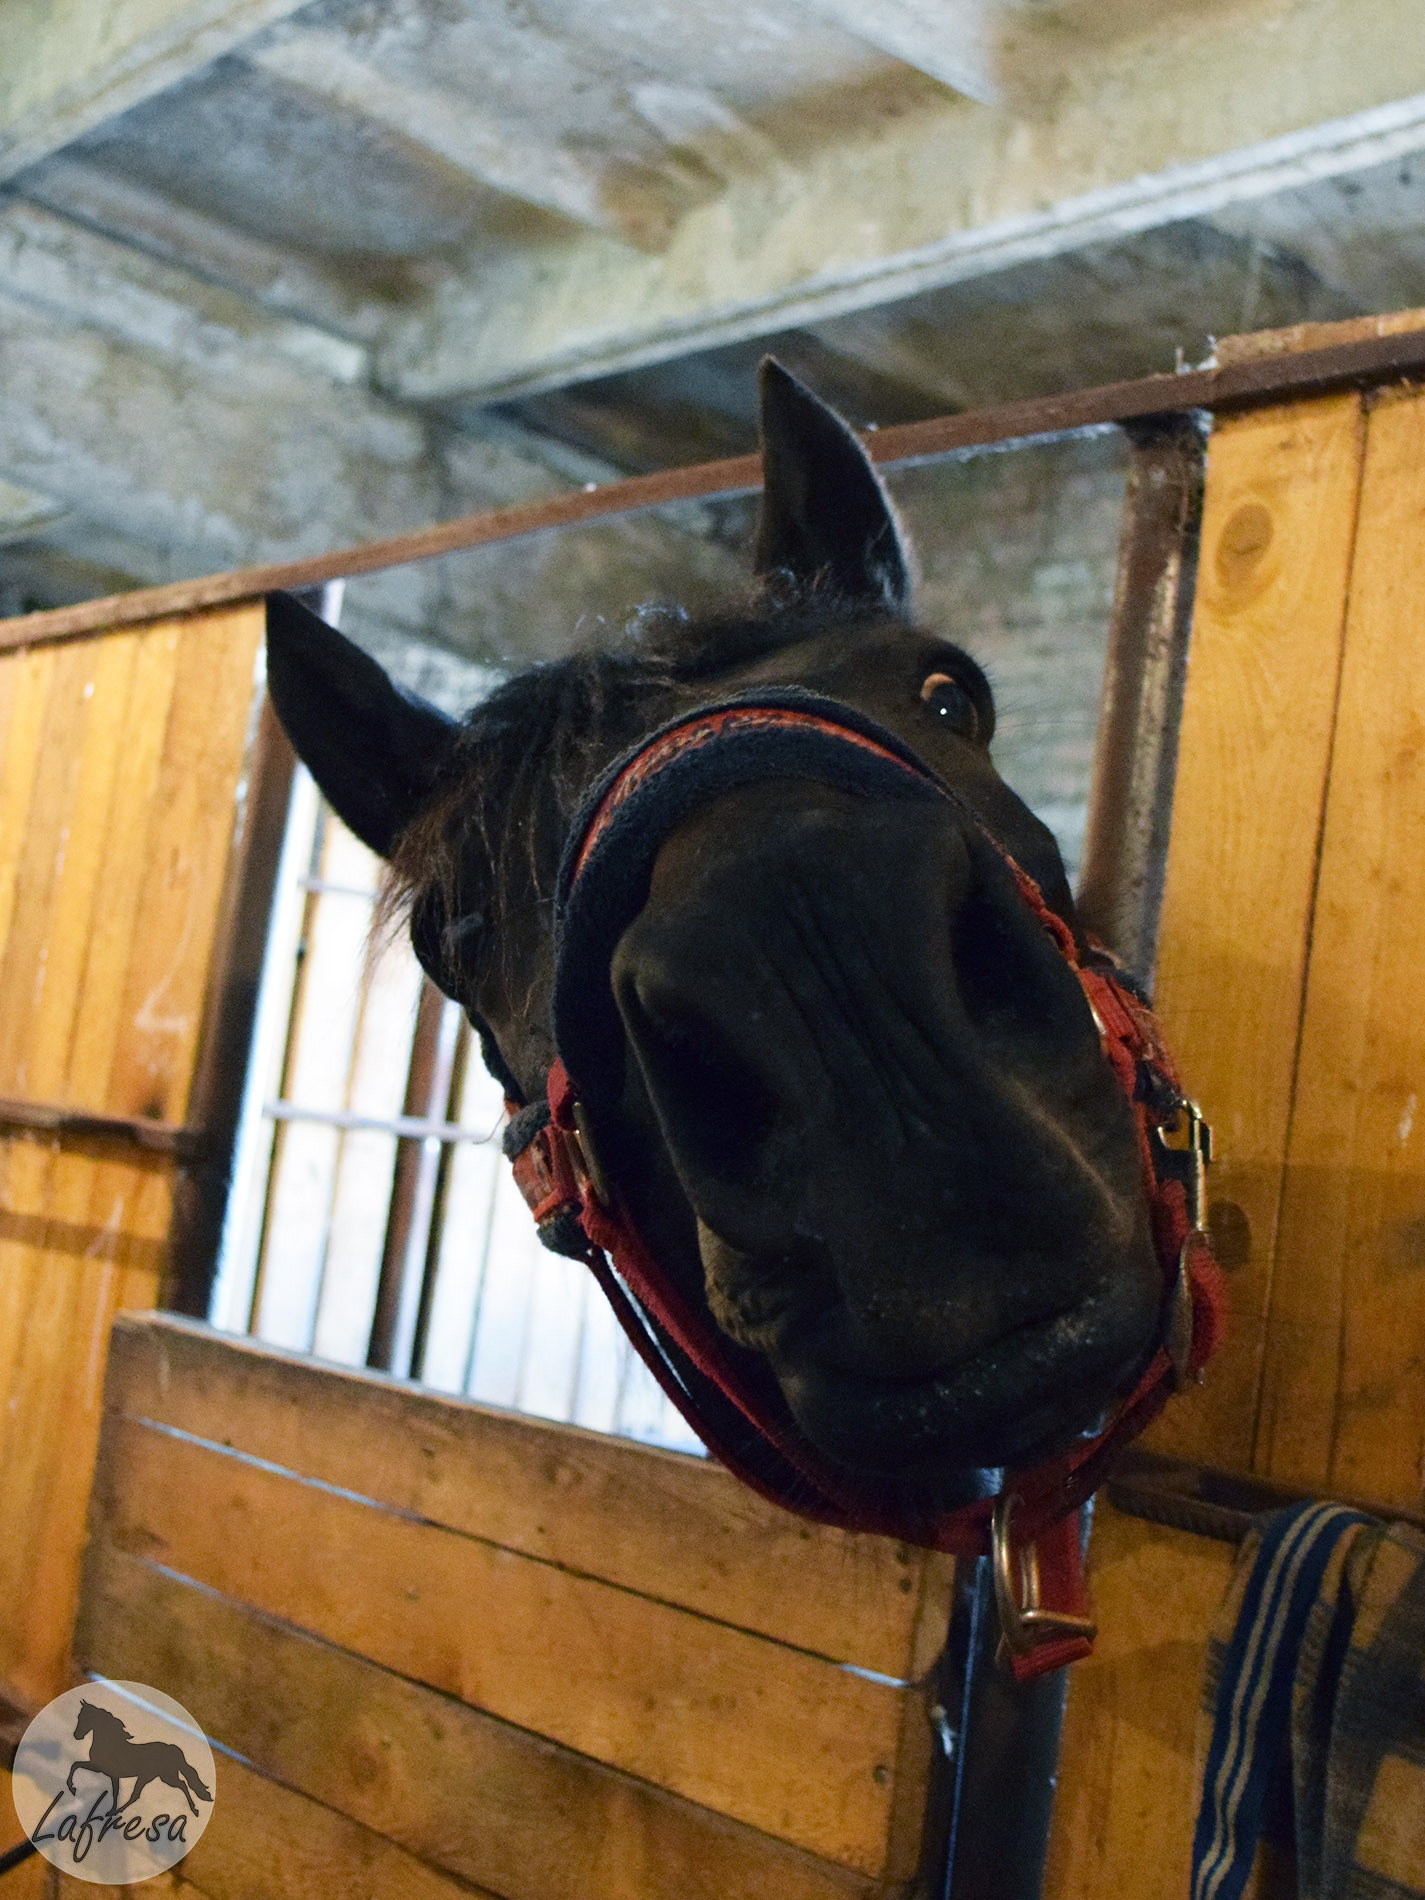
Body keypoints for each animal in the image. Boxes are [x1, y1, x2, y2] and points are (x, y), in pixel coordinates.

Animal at [66, 1702, 213, 1816]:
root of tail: (171, 1749)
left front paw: (73, 1789)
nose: (77, 1735)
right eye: (79, 1716)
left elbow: (114, 1792)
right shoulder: (102, 1770)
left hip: (162, 1777)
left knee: (181, 1785)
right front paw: (72, 1788)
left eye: (84, 1717)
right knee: (139, 1795)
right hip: (156, 1777)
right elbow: (76, 1765)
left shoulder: (105, 1771)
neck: (109, 1743)